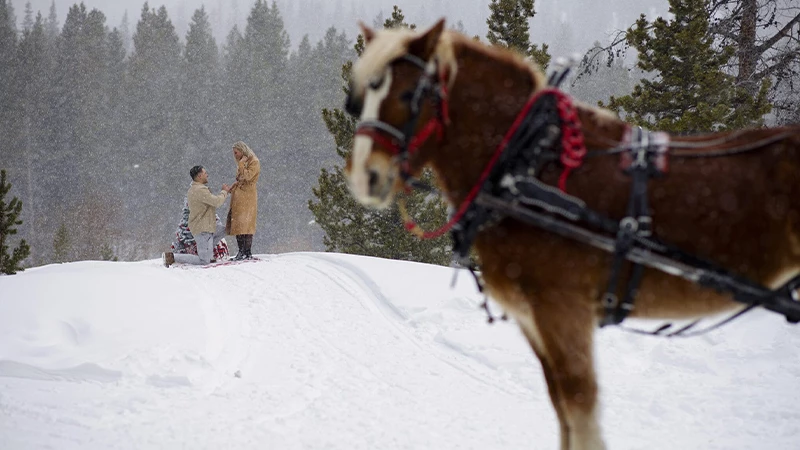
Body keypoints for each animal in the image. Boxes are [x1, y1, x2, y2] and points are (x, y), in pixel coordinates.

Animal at [342, 18, 800, 450]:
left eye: (408, 95)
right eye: (358, 100)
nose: (365, 177)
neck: (525, 165)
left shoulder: (562, 309)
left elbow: (581, 411)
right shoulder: (534, 320)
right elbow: (562, 413)